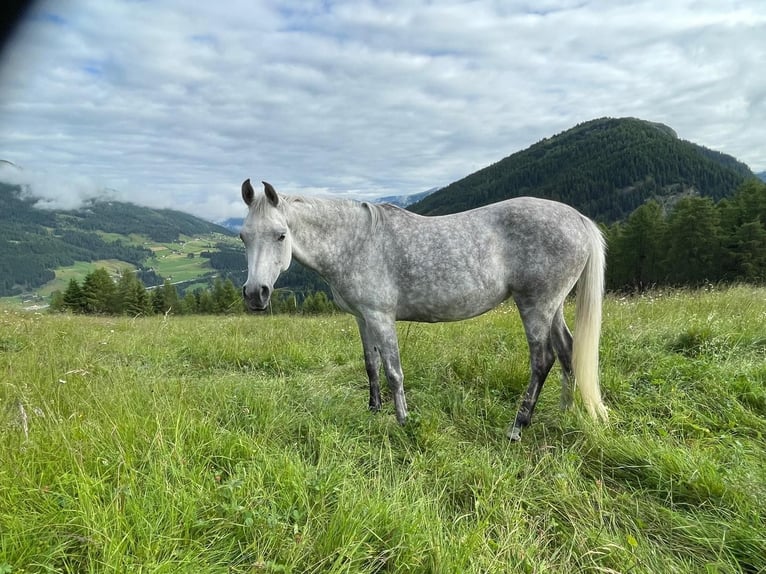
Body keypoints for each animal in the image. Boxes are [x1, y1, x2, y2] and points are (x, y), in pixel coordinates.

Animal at [240, 180, 612, 440]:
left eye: (281, 235)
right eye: (244, 237)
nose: (255, 294)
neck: (356, 242)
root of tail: (579, 219)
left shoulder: (381, 316)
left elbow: (394, 372)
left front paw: (403, 422)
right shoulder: (362, 318)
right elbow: (371, 366)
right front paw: (373, 412)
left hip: (536, 305)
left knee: (543, 359)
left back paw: (518, 427)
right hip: (554, 307)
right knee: (567, 350)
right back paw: (564, 411)